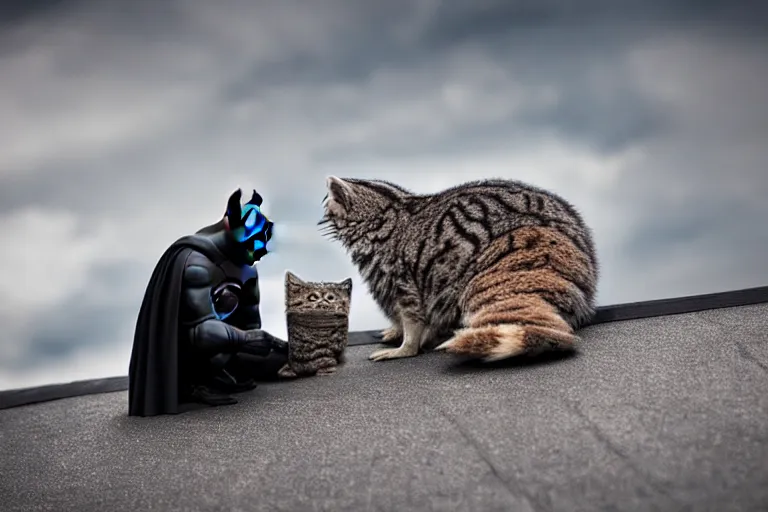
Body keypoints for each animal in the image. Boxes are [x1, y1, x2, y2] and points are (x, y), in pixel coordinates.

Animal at [318, 178, 600, 362]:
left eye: (327, 201)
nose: (320, 217)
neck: (387, 206)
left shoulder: (397, 269)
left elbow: (412, 312)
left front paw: (407, 344)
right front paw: (399, 331)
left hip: (517, 257)